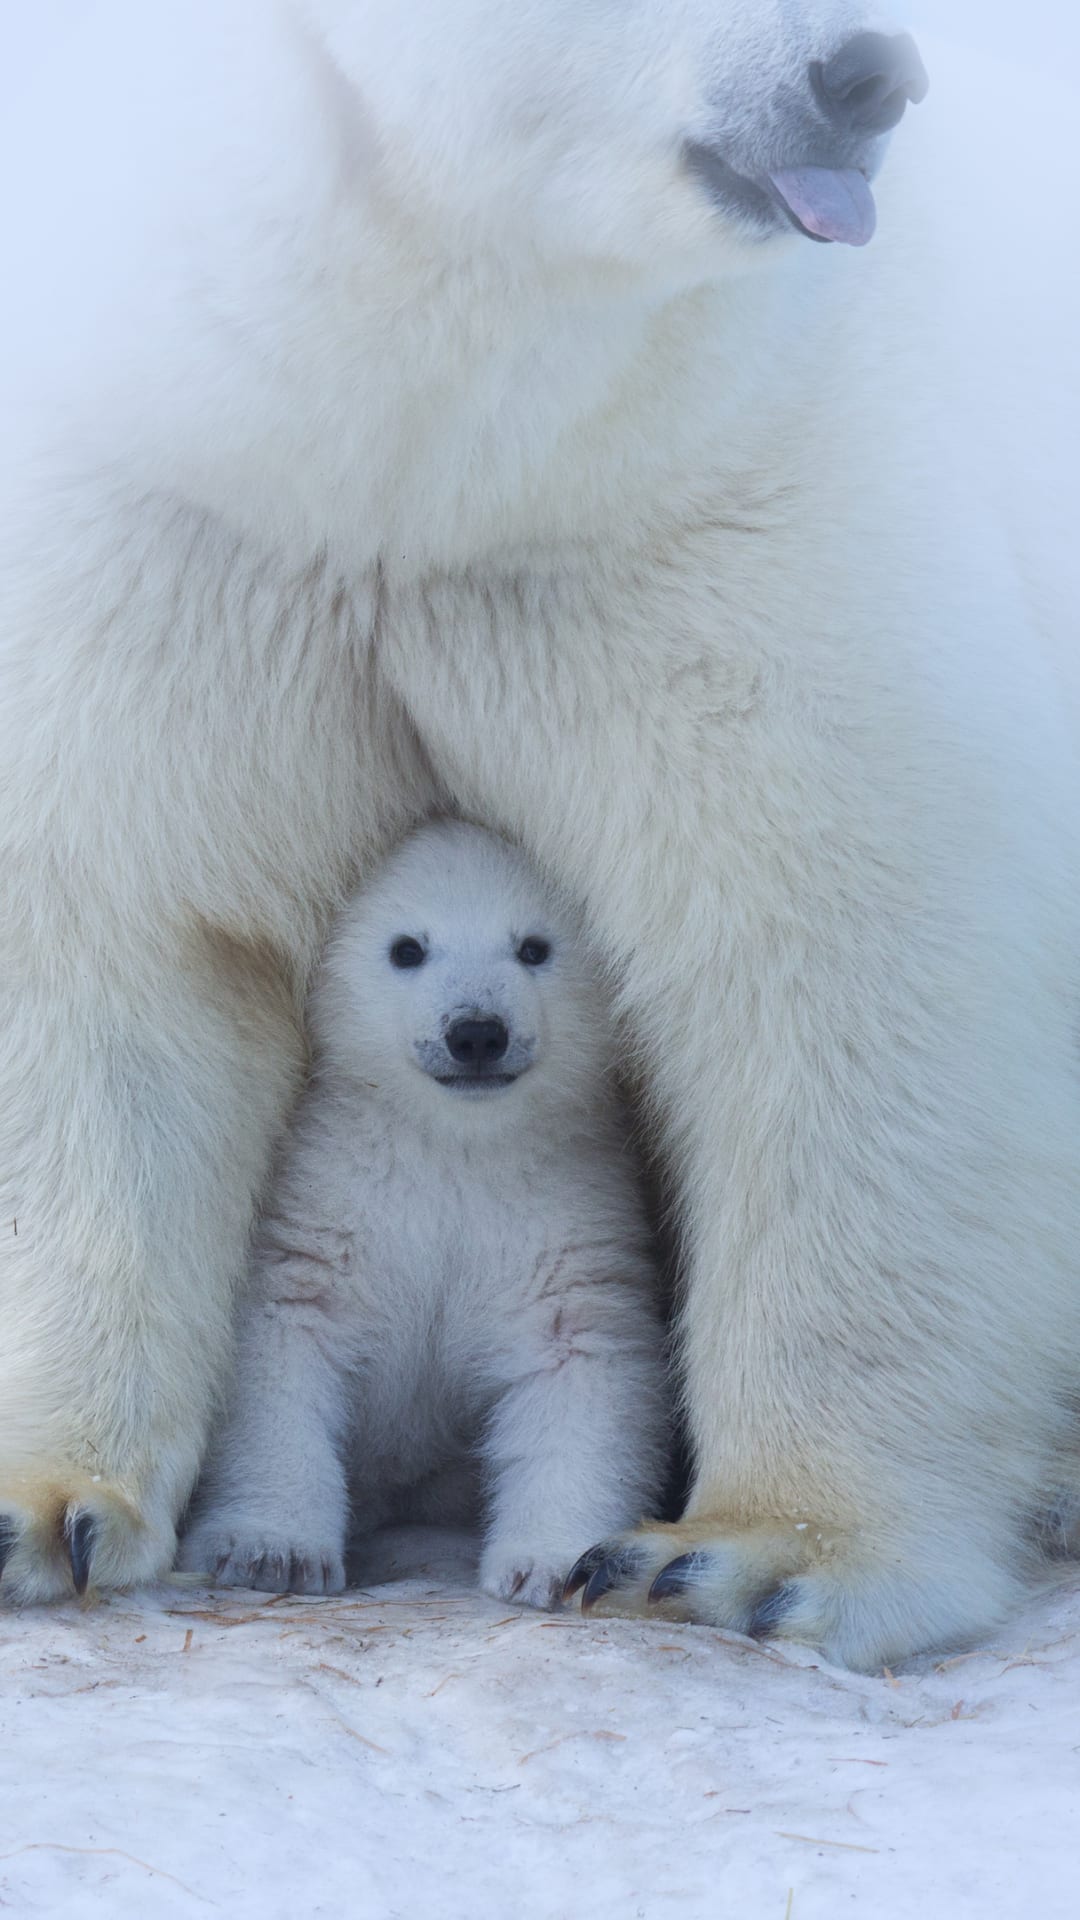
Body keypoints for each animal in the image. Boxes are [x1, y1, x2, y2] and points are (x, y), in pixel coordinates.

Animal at [177, 821, 664, 1605]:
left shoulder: (563, 1219)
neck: (453, 1144)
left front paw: (555, 1565)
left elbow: (578, 1362)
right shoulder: (328, 1204)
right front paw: (271, 1550)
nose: (476, 1033)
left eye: (534, 946)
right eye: (407, 948)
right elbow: (284, 1341)